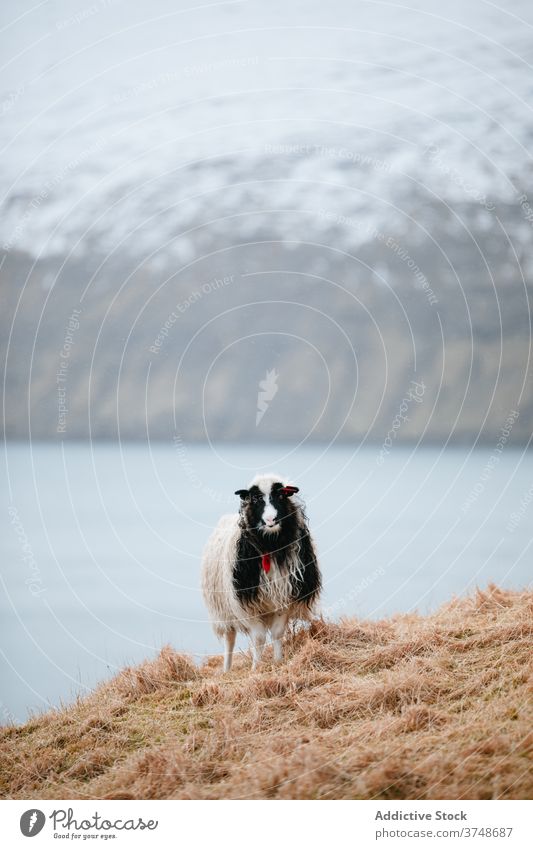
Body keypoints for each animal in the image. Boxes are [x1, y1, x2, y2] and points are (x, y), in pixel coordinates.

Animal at [201, 470, 320, 668]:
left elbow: (277, 633)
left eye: (281, 495)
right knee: (229, 638)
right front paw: (256, 667)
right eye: (256, 499)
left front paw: (278, 661)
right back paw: (226, 669)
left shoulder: (284, 596)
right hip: (223, 609)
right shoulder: (246, 605)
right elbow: (258, 638)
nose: (271, 519)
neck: (270, 547)